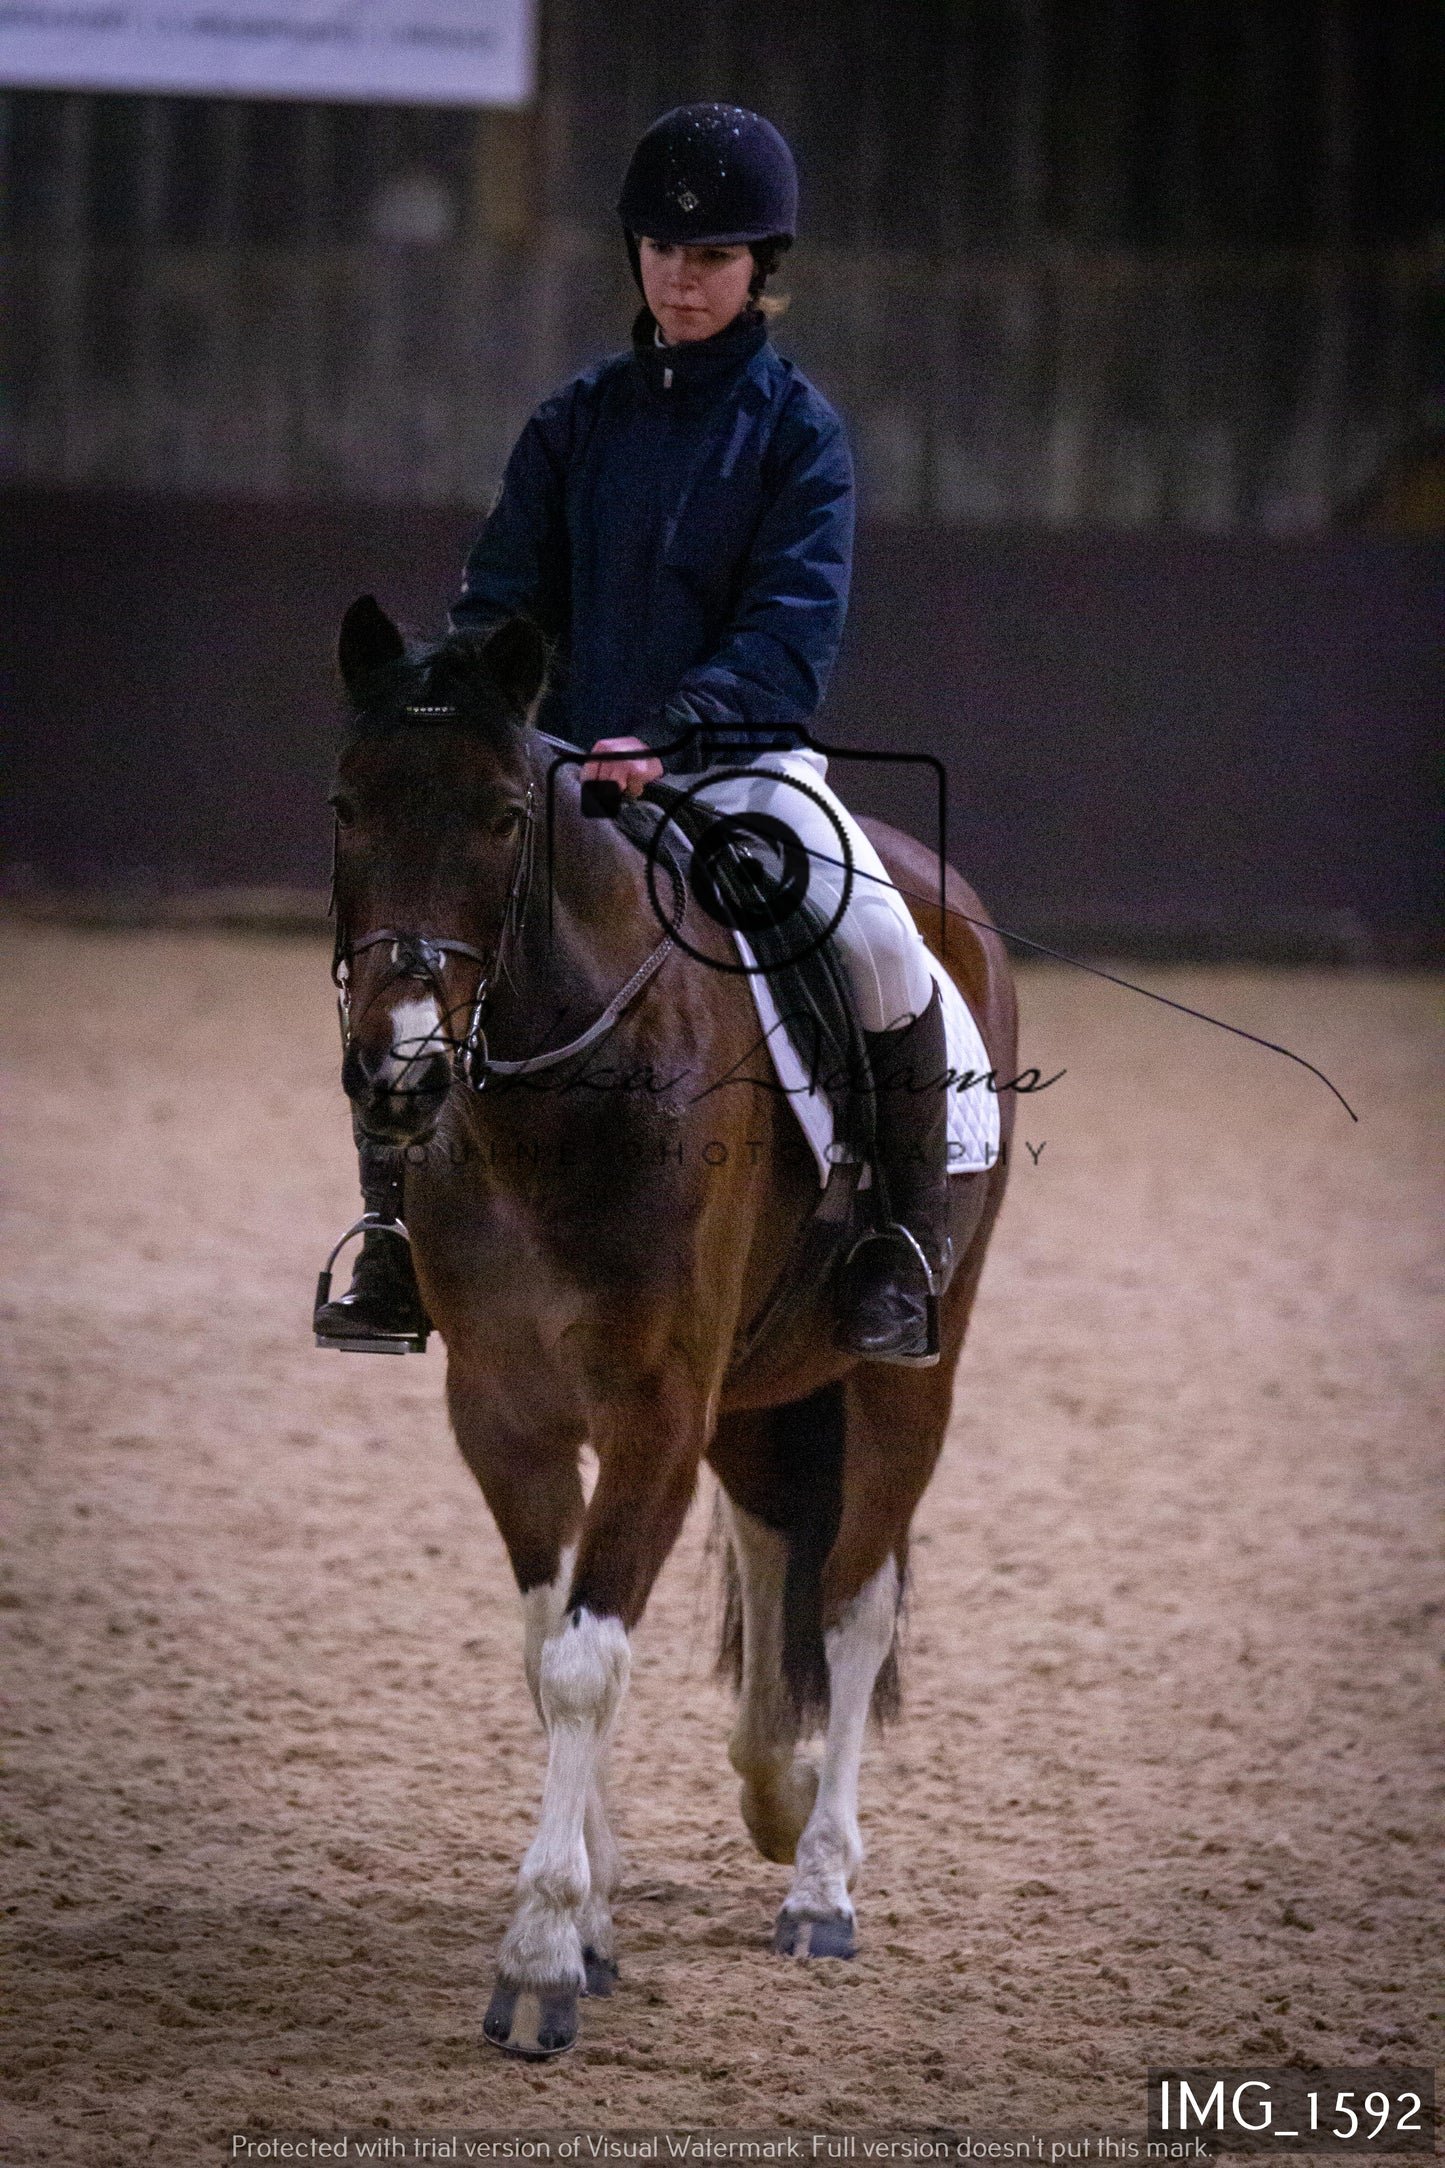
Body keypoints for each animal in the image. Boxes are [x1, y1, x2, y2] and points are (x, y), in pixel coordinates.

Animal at [327, 602, 1018, 2055]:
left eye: (498, 816)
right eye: (348, 805)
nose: (399, 1070)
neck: (558, 1094)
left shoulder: (652, 1406)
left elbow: (589, 1663)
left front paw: (537, 1957)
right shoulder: (503, 1414)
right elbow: (547, 1650)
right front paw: (590, 1923)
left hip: (909, 1368)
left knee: (856, 1597)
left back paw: (820, 1884)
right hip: (759, 1379)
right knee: (775, 1540)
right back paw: (770, 1787)